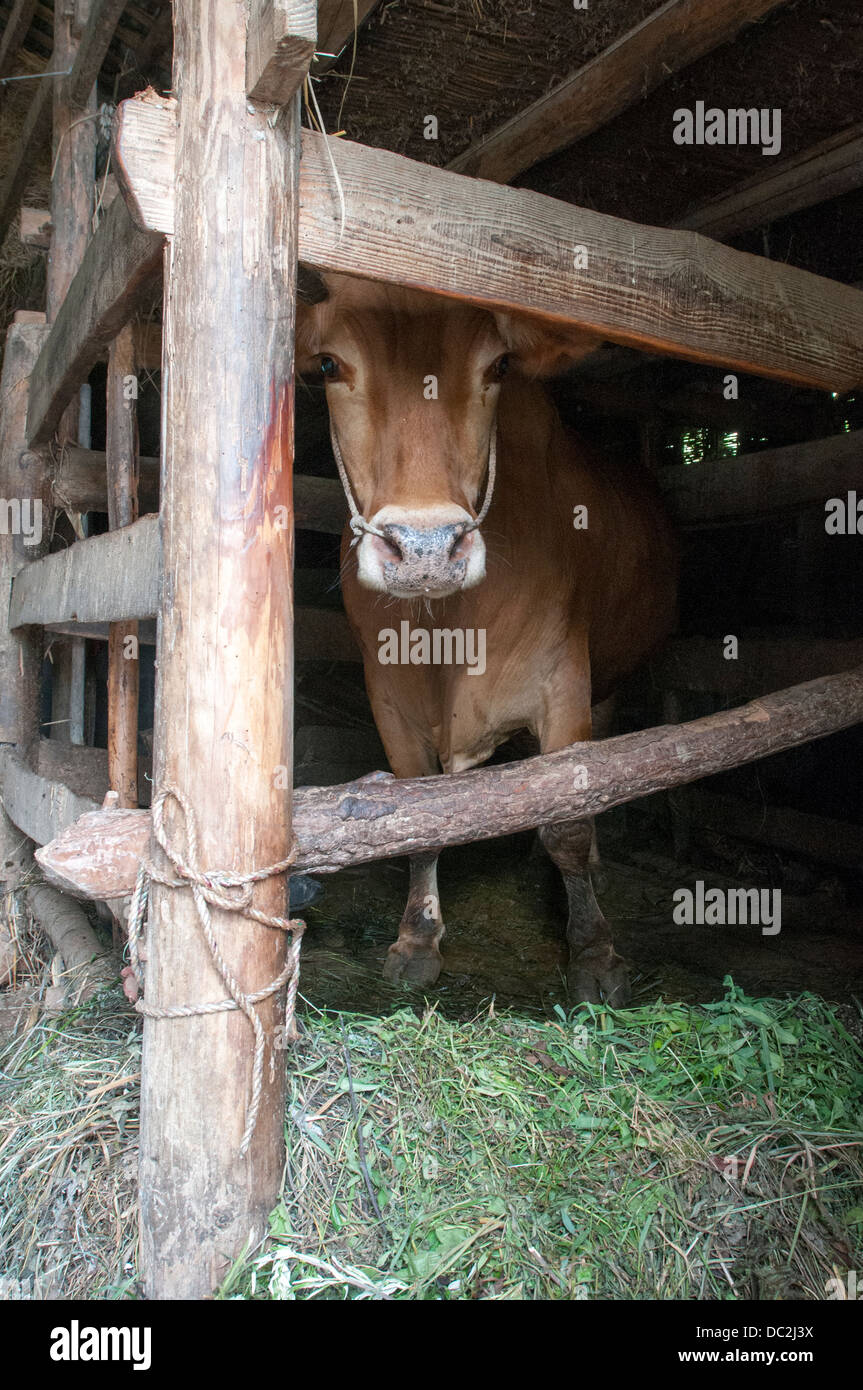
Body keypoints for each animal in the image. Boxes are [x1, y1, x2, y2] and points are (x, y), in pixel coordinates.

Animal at [300, 271, 675, 1006]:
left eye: (497, 367)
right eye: (329, 365)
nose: (424, 548)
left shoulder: (562, 681)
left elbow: (569, 820)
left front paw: (594, 955)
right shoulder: (389, 696)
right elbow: (416, 821)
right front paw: (416, 941)